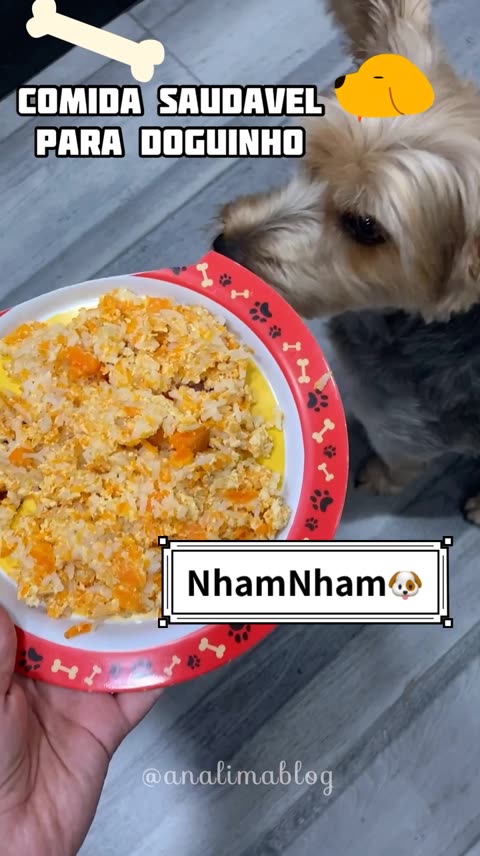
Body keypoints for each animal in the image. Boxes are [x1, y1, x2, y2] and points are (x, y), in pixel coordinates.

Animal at [213, 0, 480, 524]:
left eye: (365, 226)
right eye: (310, 158)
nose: (224, 249)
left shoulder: (404, 430)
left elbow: (397, 463)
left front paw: (374, 477)